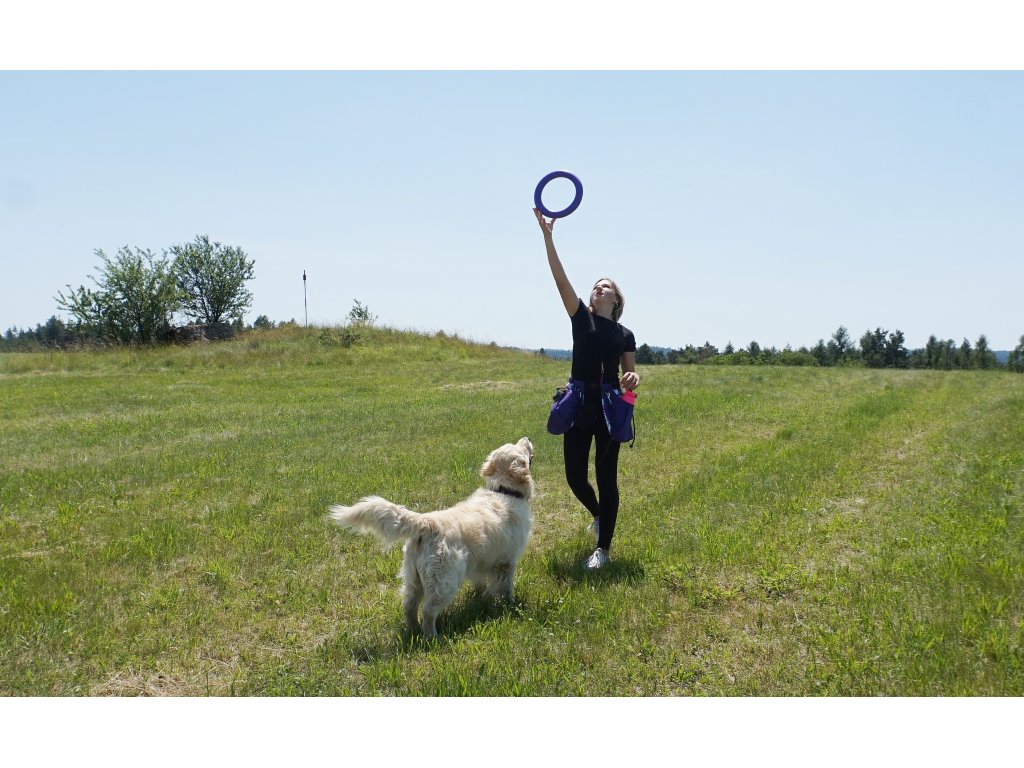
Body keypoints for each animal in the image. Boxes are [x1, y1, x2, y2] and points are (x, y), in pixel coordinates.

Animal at [327, 436, 536, 638]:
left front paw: (480, 599)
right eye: (521, 450)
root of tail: (427, 522)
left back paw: (413, 631)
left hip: (413, 578)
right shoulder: (507, 562)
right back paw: (432, 638)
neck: (503, 491)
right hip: (444, 581)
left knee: (409, 606)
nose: (527, 437)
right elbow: (507, 588)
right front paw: (511, 605)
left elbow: (480, 585)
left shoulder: (482, 562)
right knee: (428, 611)